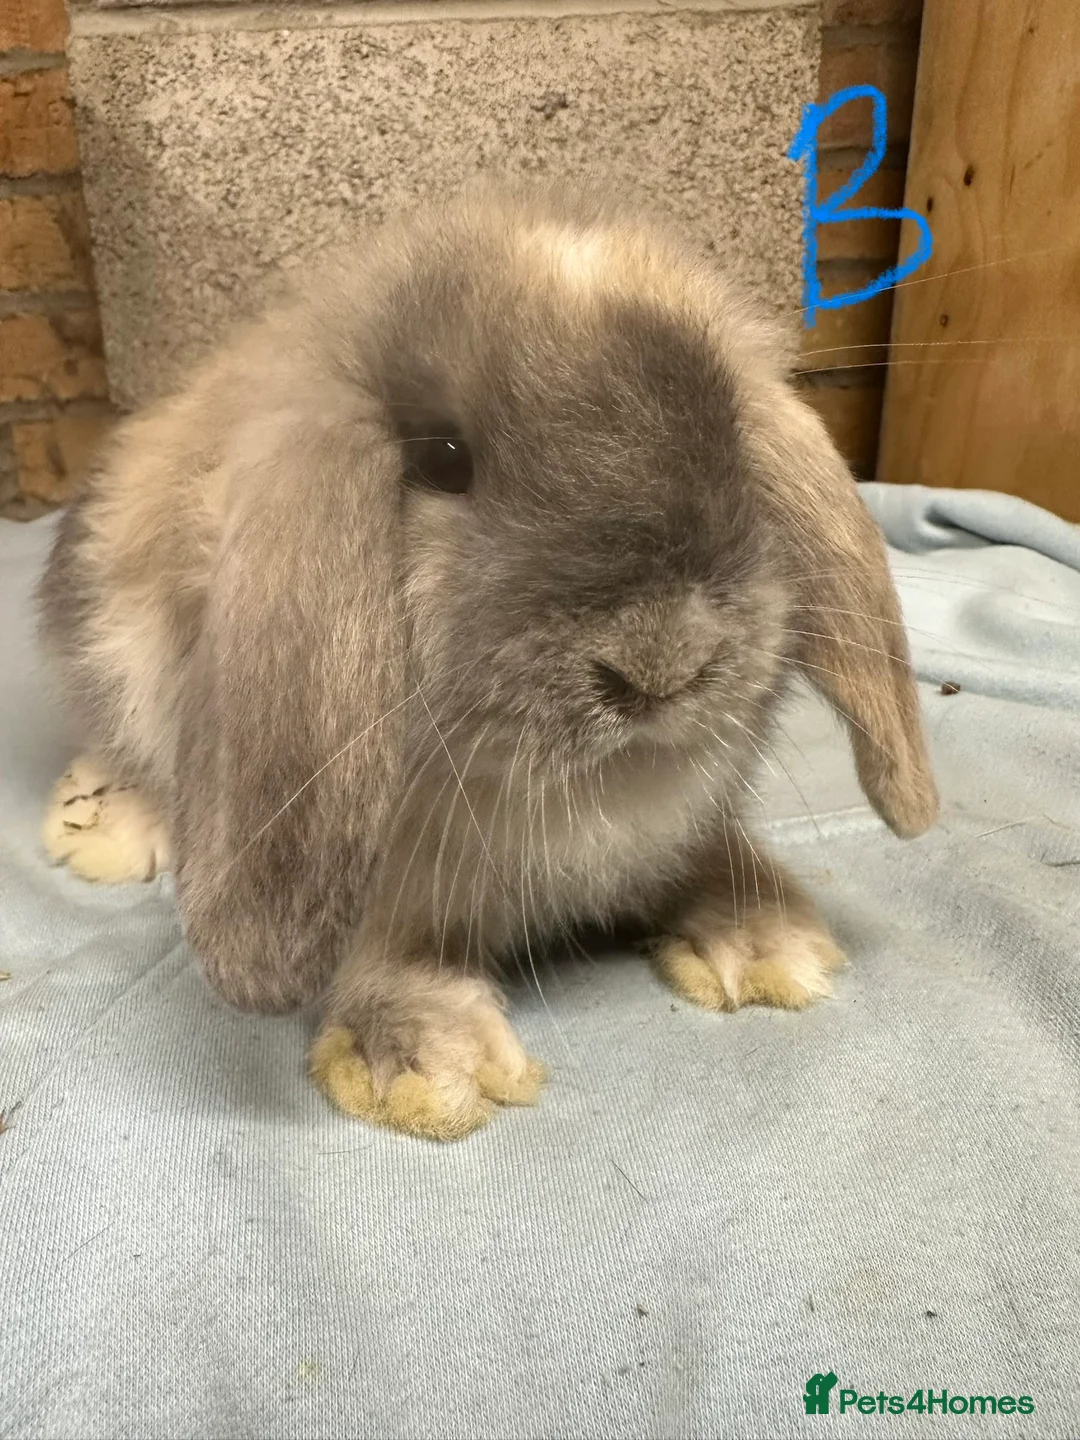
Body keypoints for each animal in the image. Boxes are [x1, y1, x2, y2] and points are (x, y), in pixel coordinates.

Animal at [37, 180, 938, 1141]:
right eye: (442, 458)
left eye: (729, 427)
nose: (661, 665)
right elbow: (382, 954)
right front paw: (425, 1062)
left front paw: (766, 940)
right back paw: (104, 826)